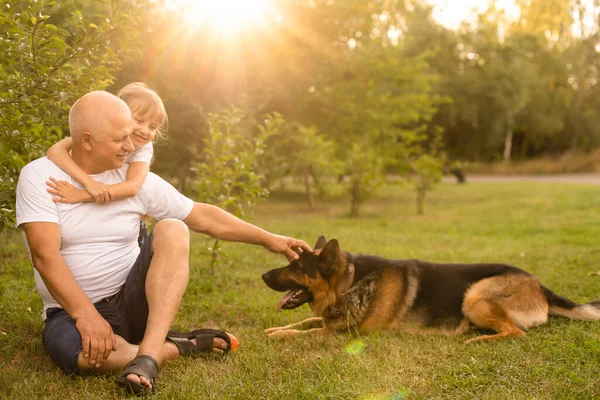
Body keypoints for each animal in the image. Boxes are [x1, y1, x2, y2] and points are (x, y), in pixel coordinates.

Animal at [262, 236, 600, 342]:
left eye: (296, 268)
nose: (263, 275)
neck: (350, 283)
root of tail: (539, 284)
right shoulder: (330, 319)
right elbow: (307, 320)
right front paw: (276, 329)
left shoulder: (344, 334)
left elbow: (306, 331)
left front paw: (280, 335)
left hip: (474, 297)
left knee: (515, 332)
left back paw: (476, 340)